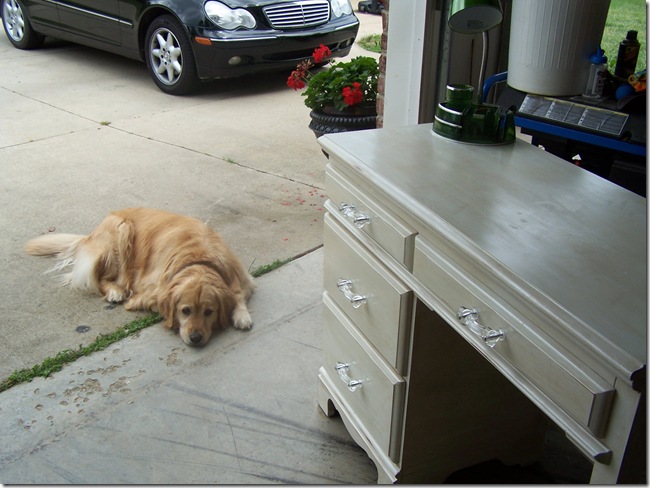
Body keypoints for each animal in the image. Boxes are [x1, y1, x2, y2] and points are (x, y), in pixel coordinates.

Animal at [24, 208, 253, 346]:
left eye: (209, 312)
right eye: (185, 311)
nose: (195, 338)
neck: (199, 259)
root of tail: (91, 235)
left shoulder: (241, 276)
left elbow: (238, 294)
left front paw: (241, 315)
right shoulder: (152, 286)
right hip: (122, 231)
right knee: (100, 279)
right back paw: (115, 292)